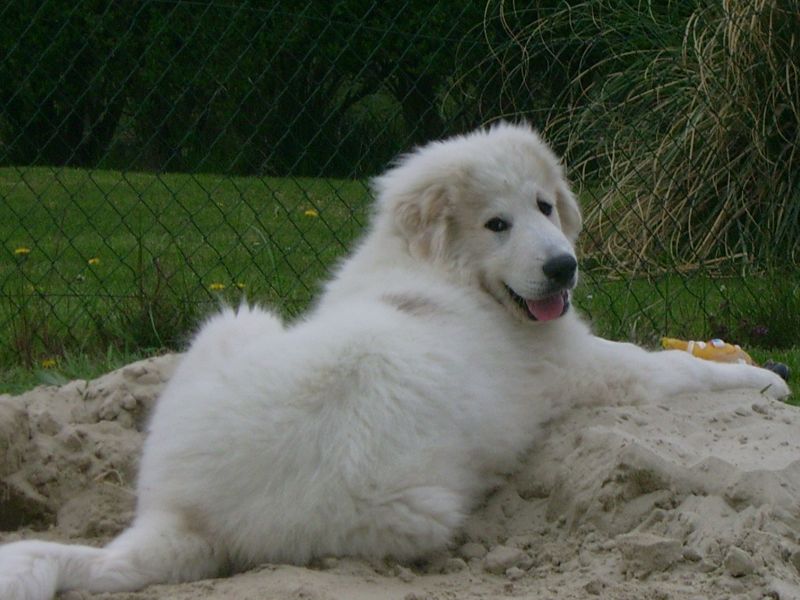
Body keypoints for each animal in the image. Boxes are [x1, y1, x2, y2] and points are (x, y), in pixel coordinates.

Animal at [0, 124, 788, 596]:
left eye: (544, 205)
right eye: (496, 224)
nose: (563, 268)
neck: (444, 270)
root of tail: (184, 516)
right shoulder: (590, 366)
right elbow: (680, 368)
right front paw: (763, 377)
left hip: (232, 326)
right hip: (422, 508)